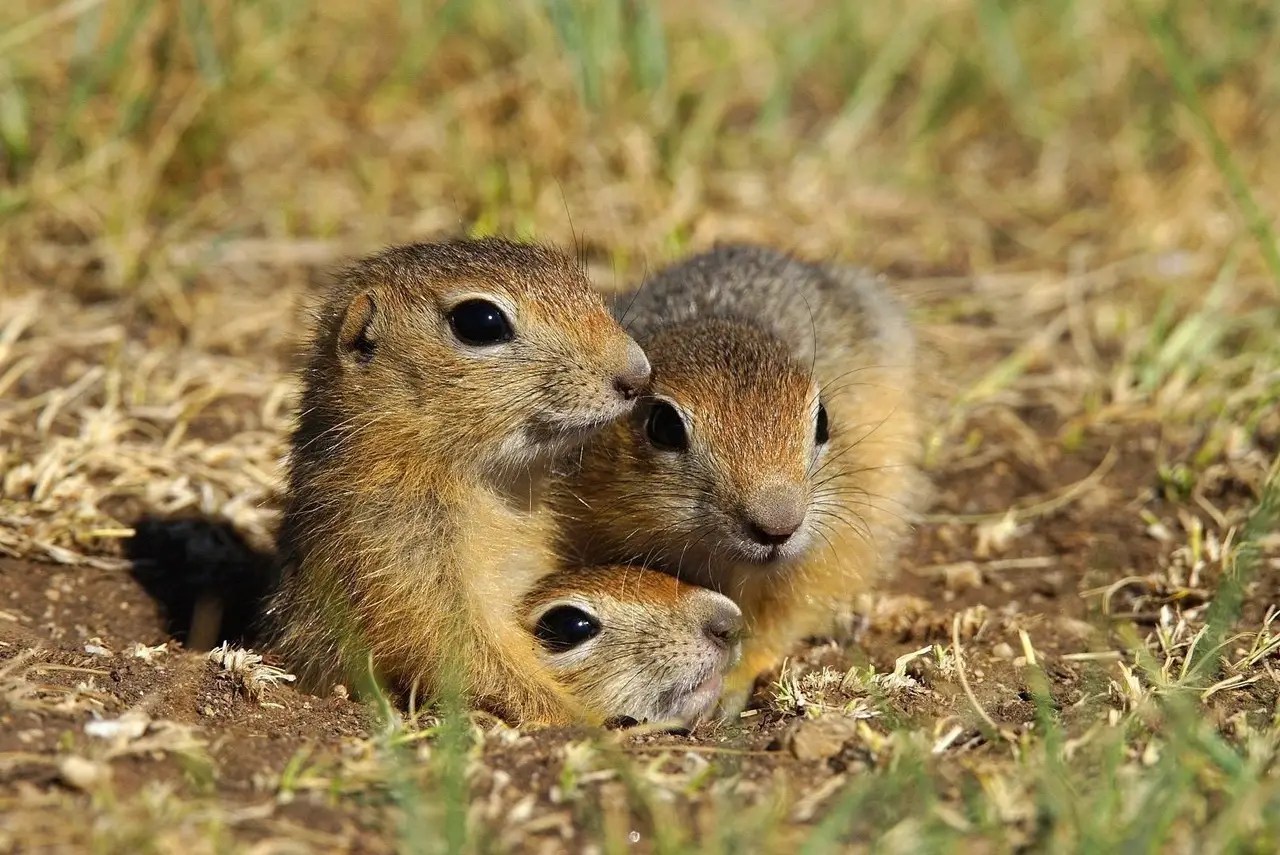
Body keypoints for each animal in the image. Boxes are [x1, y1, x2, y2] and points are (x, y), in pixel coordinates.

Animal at [553, 244, 923, 713]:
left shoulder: (818, 557)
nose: (779, 527)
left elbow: (774, 626)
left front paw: (728, 688)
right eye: (663, 425)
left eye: (823, 420)